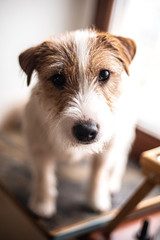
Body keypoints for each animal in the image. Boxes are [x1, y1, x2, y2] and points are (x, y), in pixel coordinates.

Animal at [18, 28, 136, 218]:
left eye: (104, 74)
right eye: (58, 79)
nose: (86, 131)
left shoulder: (106, 150)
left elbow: (98, 174)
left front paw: (96, 200)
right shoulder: (39, 147)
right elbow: (43, 176)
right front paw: (42, 203)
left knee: (120, 158)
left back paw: (112, 182)